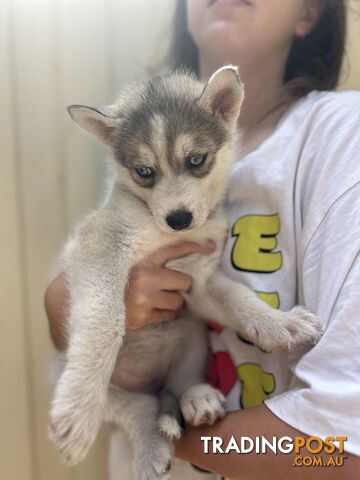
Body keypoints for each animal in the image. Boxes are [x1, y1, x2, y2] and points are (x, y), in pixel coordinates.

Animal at [48, 65, 320, 478]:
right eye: (144, 171)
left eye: (196, 160)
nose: (178, 218)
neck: (163, 233)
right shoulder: (100, 246)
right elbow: (106, 321)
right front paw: (78, 408)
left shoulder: (198, 278)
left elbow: (239, 298)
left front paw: (279, 323)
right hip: (62, 366)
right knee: (139, 407)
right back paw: (143, 443)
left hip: (192, 334)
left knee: (177, 385)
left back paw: (198, 400)